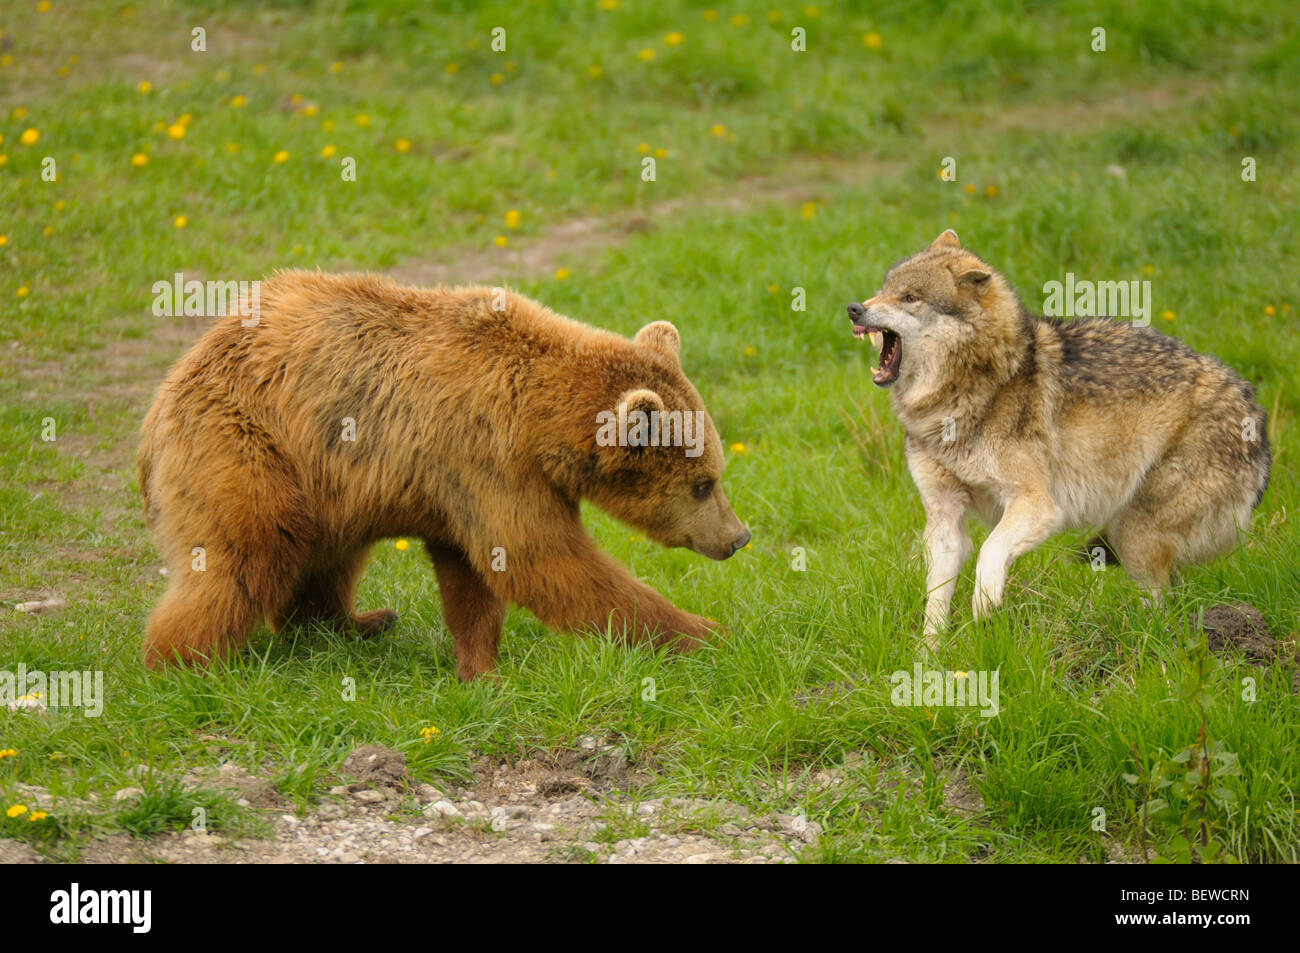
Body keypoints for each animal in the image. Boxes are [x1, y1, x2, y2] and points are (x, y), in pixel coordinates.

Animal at [137, 271, 748, 681]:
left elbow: (475, 575)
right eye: (704, 483)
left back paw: (358, 621)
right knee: (244, 554)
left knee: (326, 556)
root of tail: (166, 391)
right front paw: (704, 632)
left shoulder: (461, 483)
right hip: (250, 447)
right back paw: (184, 662)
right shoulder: (486, 458)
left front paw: (480, 668)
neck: (537, 418)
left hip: (329, 484)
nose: (738, 537)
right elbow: (547, 561)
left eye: (716, 472)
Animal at [842, 230, 1268, 639]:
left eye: (909, 297)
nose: (854, 308)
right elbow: (936, 600)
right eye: (884, 289)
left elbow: (989, 554)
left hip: (1133, 534)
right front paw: (929, 655)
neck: (977, 386)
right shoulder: (944, 514)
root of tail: (1252, 408)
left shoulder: (1037, 504)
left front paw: (985, 605)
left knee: (1163, 604)